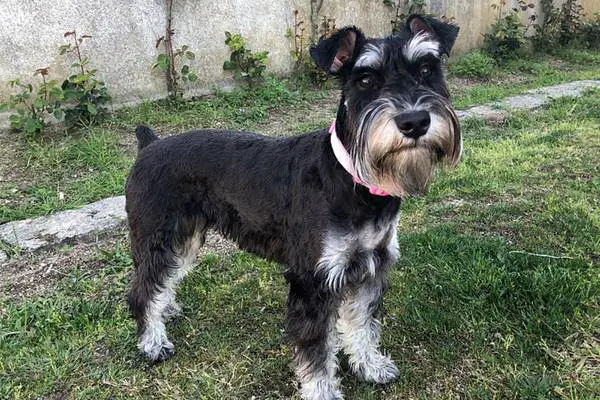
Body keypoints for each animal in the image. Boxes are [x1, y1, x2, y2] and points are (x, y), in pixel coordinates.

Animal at [126, 14, 462, 398]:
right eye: (365, 80)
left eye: (427, 69)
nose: (415, 122)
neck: (354, 180)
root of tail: (149, 146)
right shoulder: (313, 280)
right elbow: (317, 349)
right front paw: (324, 391)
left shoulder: (370, 268)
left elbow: (362, 324)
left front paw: (370, 365)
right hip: (158, 238)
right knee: (143, 290)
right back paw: (153, 342)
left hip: (185, 240)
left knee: (162, 280)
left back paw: (166, 309)